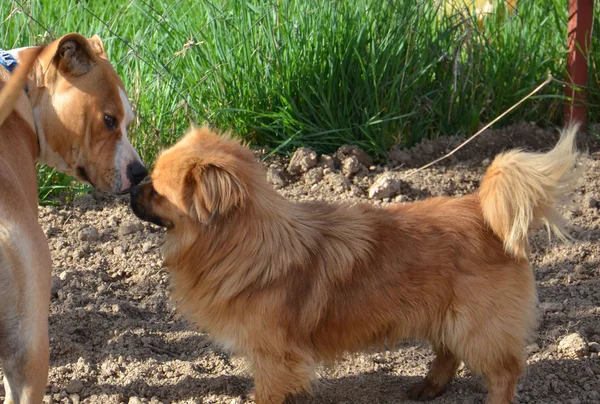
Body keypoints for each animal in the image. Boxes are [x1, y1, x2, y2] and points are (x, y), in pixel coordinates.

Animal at [131, 124, 580, 402]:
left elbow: (268, 392)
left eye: (157, 189)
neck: (240, 241)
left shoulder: (273, 358)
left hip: (476, 325)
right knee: (447, 353)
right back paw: (427, 389)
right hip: (446, 314)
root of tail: (481, 209)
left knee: (504, 372)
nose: (133, 184)